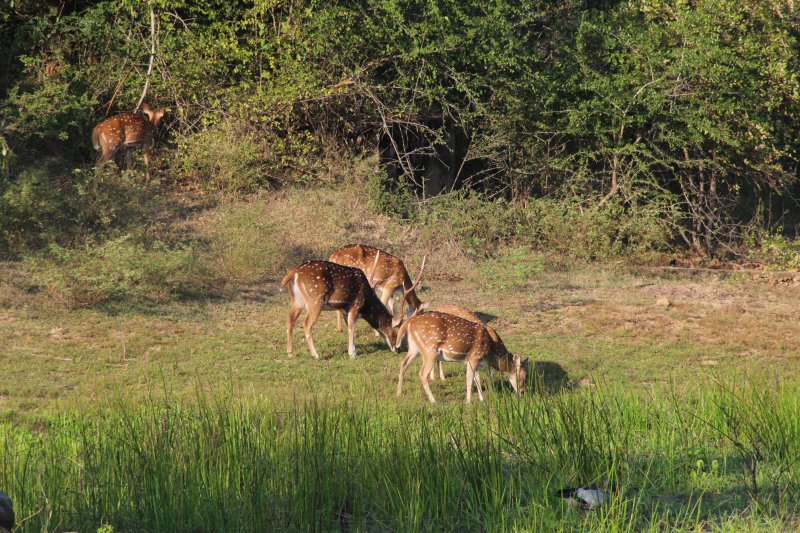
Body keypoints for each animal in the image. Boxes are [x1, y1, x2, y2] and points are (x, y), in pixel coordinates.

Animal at [280, 251, 424, 359]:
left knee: (290, 319)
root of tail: (294, 273)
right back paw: (315, 354)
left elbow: (349, 326)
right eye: (396, 332)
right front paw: (352, 353)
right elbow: (352, 327)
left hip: (297, 301)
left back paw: (290, 352)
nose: (398, 350)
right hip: (315, 300)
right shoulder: (355, 305)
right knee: (306, 323)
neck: (366, 304)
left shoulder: (345, 310)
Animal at [395, 311, 528, 403]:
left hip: (414, 348)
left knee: (403, 364)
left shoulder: (476, 362)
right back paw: (433, 400)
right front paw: (468, 401)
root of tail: (409, 322)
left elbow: (478, 378)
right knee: (422, 373)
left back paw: (399, 393)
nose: (523, 392)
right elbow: (470, 379)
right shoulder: (474, 357)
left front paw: (482, 398)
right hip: (430, 350)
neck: (491, 352)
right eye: (524, 375)